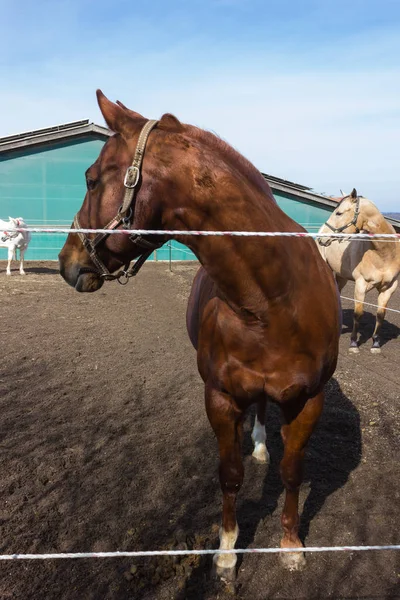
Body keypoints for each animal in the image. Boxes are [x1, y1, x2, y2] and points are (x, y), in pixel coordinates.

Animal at [58, 90, 340, 580]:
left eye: (92, 180)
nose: (65, 262)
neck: (275, 302)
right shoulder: (221, 398)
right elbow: (229, 475)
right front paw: (226, 550)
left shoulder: (309, 401)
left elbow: (292, 472)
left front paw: (291, 545)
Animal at [318, 190, 398, 354]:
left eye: (339, 213)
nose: (322, 238)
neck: (383, 254)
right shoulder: (361, 284)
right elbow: (358, 314)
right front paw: (354, 343)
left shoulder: (389, 287)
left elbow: (381, 315)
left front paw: (375, 344)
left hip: (341, 276)